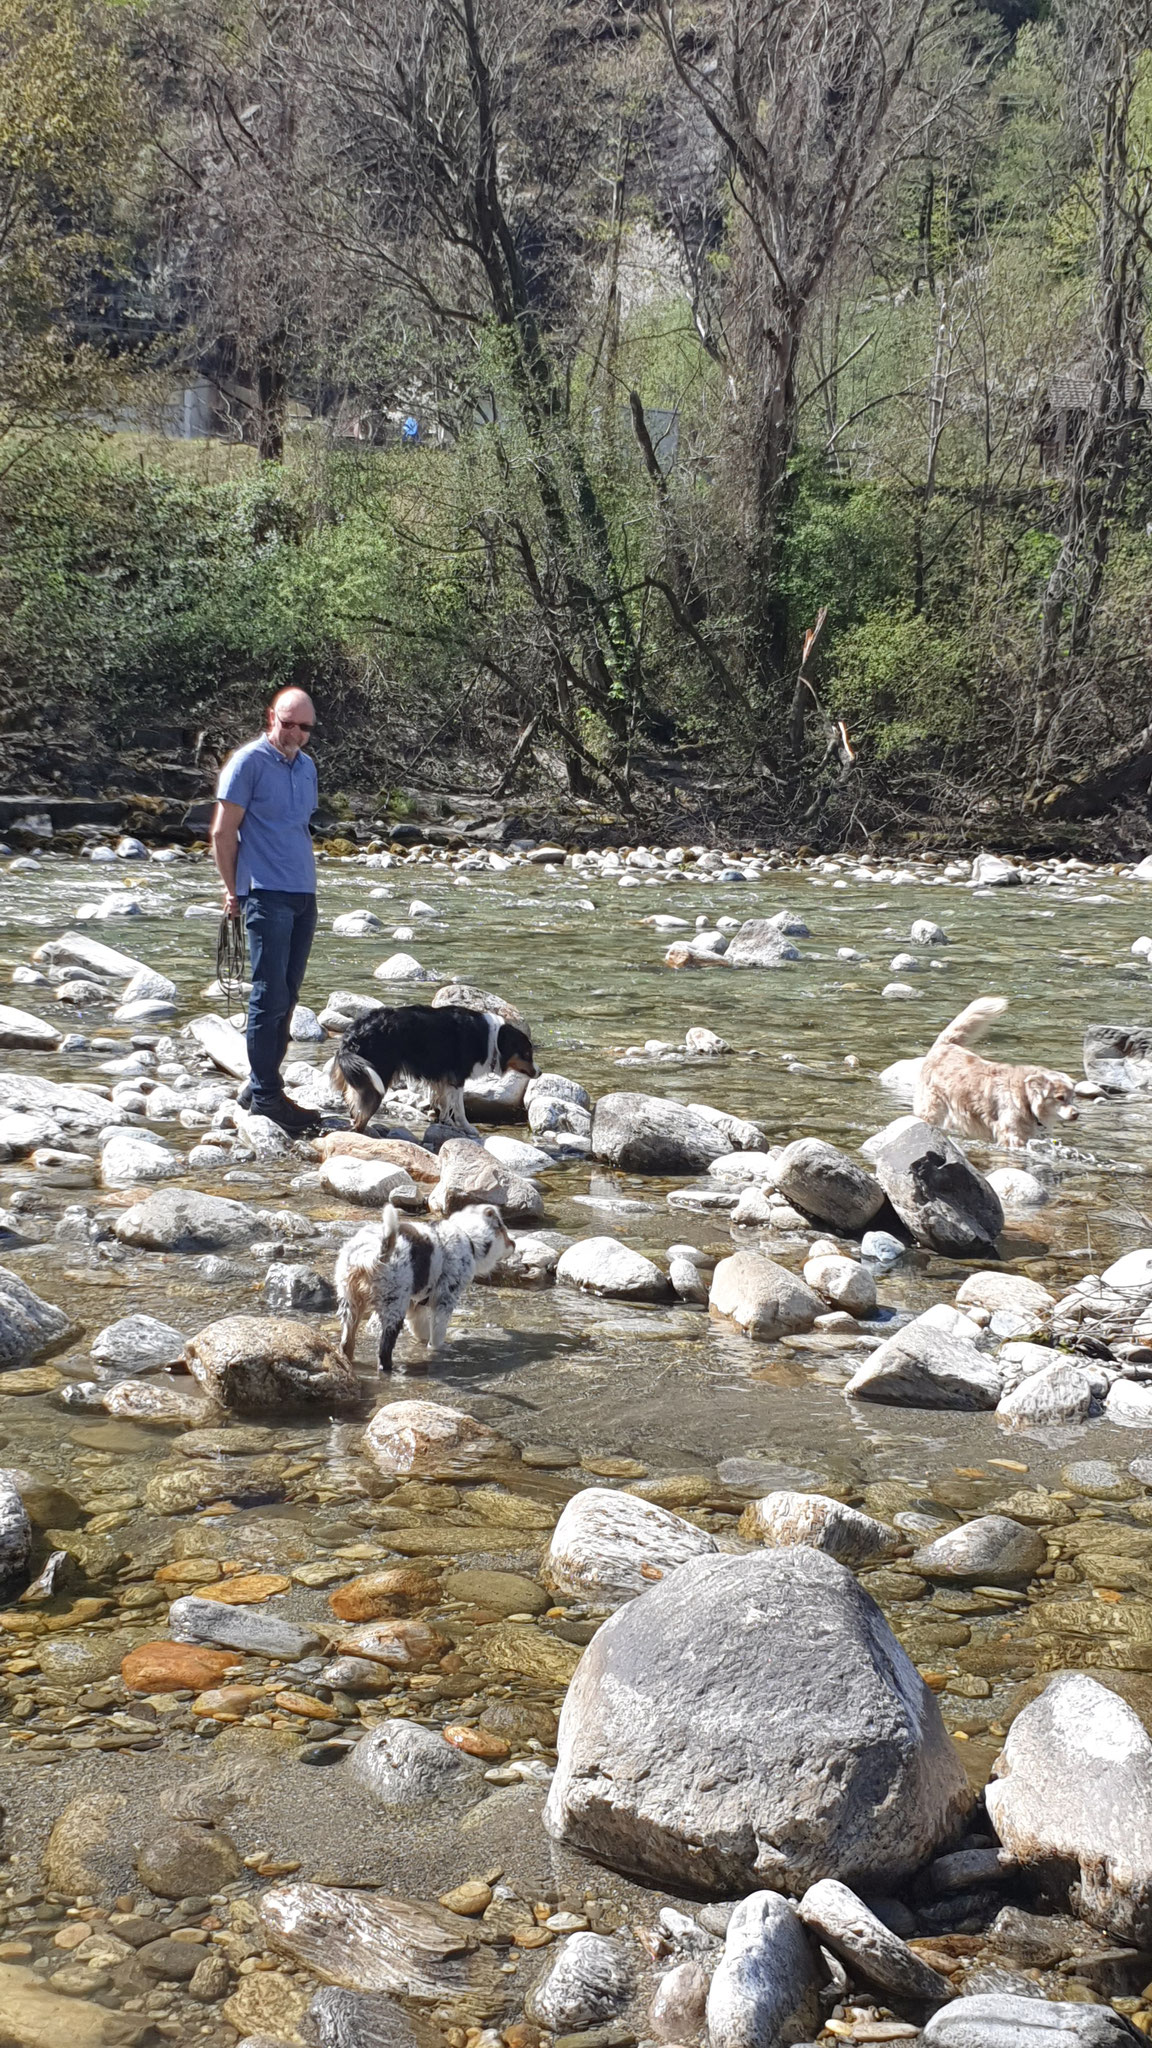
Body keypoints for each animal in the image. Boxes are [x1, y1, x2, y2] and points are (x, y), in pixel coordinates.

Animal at [327, 1007, 532, 1138]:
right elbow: (459, 1108)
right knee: (361, 1117)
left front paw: (446, 1123)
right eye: (527, 1054)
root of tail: (354, 1033)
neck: (492, 1037)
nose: (538, 1073)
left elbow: (444, 1103)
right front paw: (468, 1128)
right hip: (377, 1080)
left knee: (353, 1105)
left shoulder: (443, 1080)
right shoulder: (457, 1079)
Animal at [332, 1196, 510, 1376]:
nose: (514, 1244)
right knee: (383, 1353)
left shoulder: (415, 1306)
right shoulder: (444, 1301)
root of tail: (367, 1255)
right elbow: (437, 1335)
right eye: (504, 1230)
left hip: (350, 1302)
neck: (468, 1237)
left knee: (346, 1344)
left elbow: (422, 1331)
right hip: (393, 1308)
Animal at [906, 995, 1074, 1155]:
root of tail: (945, 1044)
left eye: (1073, 1098)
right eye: (1060, 1098)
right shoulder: (1011, 1134)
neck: (1025, 1098)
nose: (1076, 1114)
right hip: (931, 1107)